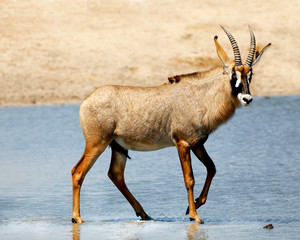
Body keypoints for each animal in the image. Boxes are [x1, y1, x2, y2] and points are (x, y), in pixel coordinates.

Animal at [71, 25, 270, 224]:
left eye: (250, 75)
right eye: (234, 74)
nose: (247, 99)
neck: (199, 97)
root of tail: (86, 101)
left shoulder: (197, 144)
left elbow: (212, 168)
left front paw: (194, 206)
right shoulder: (182, 144)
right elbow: (189, 179)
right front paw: (195, 216)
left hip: (118, 146)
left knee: (116, 175)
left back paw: (144, 214)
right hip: (97, 143)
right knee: (78, 172)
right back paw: (77, 218)